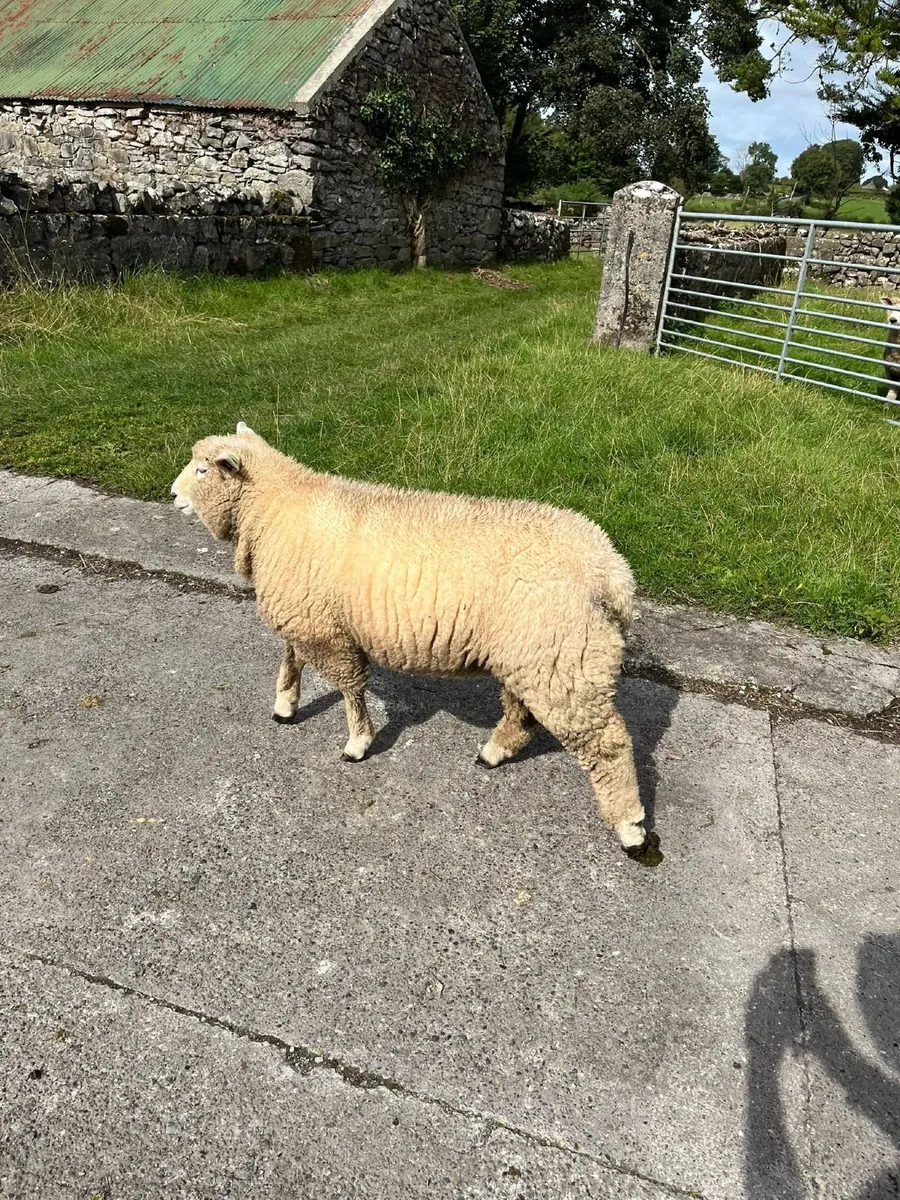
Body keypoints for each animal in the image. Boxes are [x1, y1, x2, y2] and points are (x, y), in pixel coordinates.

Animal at [171, 423, 659, 862]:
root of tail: (612, 572)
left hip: (564, 658)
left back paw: (631, 830)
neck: (272, 508)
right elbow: (291, 660)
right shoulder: (307, 617)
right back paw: (493, 753)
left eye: (202, 470)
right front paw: (285, 705)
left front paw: (358, 743)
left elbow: (350, 688)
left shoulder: (324, 630)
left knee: (608, 744)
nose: (173, 495)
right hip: (539, 655)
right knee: (522, 715)